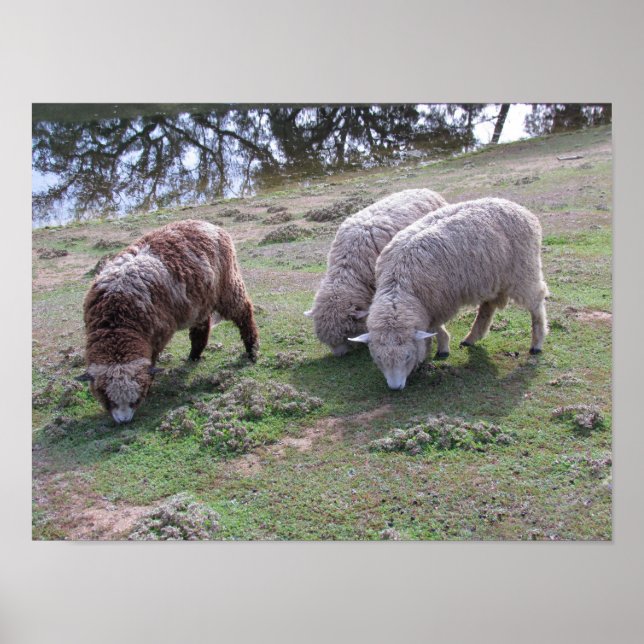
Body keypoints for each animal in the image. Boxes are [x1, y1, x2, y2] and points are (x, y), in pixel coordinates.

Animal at [78, 219, 259, 423]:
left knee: (244, 312)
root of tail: (207, 224)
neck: (117, 319)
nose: (124, 421)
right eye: (106, 398)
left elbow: (152, 361)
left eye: (136, 399)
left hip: (228, 287)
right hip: (200, 300)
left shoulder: (157, 335)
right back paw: (194, 356)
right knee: (201, 327)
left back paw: (252, 349)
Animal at [349, 198, 549, 390]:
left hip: (523, 270)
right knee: (488, 307)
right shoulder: (429, 306)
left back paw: (537, 343)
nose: (395, 388)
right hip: (492, 278)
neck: (399, 285)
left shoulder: (438, 303)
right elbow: (432, 327)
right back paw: (472, 337)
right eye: (378, 358)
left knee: (536, 302)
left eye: (407, 357)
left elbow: (434, 327)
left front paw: (441, 348)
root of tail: (521, 209)